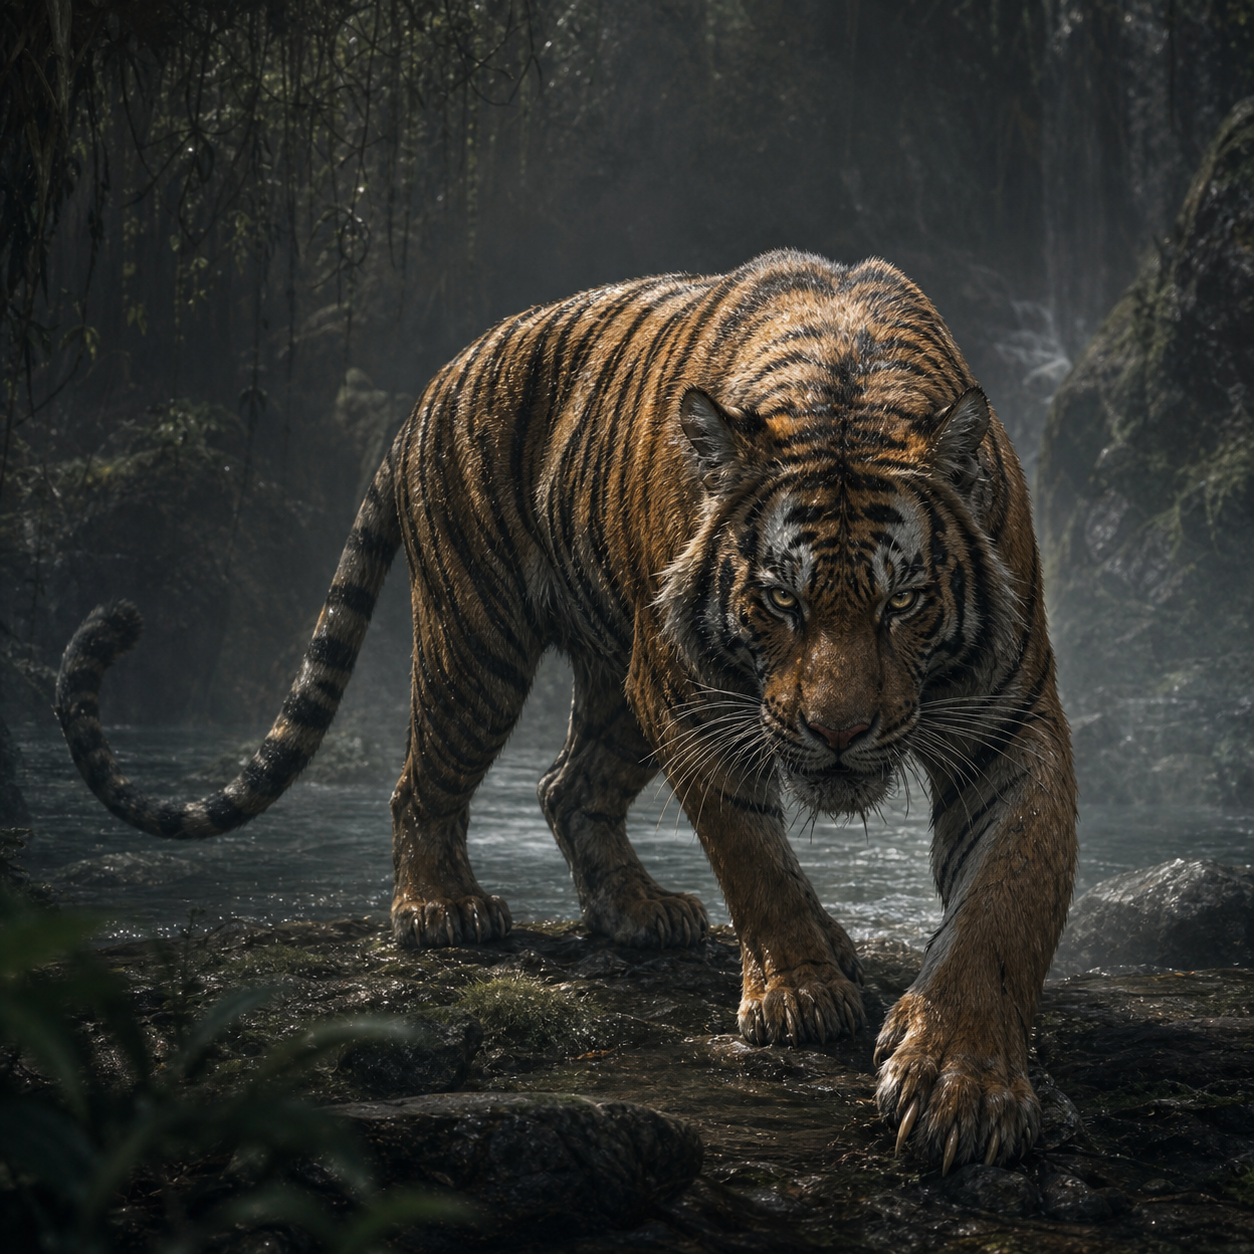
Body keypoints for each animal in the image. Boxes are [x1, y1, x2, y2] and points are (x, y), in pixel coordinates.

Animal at [56, 249, 1077, 1173]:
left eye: (902, 603)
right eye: (780, 601)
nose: (838, 733)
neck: (845, 390)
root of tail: (437, 382)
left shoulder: (1008, 720)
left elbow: (1005, 899)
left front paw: (962, 1083)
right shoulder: (694, 699)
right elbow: (754, 859)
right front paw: (800, 994)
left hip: (619, 675)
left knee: (562, 785)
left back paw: (640, 909)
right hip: (485, 647)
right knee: (422, 783)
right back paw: (441, 908)